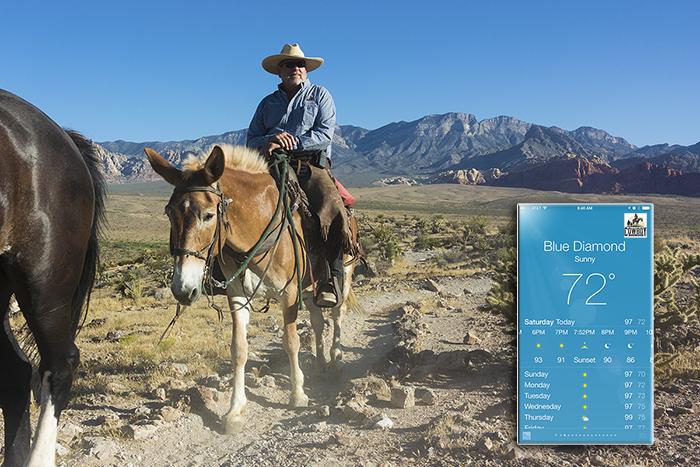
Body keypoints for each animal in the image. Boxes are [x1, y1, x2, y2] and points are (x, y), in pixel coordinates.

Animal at [145, 144, 358, 434]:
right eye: (169, 213)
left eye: (208, 215)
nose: (182, 289)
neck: (259, 225)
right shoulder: (237, 295)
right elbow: (238, 349)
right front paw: (235, 411)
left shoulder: (289, 295)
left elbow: (291, 342)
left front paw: (298, 394)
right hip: (310, 286)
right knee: (317, 322)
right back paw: (320, 368)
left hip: (343, 273)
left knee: (337, 314)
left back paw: (335, 362)